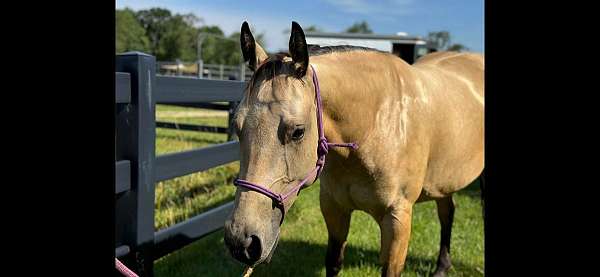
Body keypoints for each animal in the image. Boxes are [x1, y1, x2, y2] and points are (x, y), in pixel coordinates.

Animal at [224, 22, 482, 276]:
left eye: (298, 131)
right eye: (237, 126)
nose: (241, 241)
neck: (376, 125)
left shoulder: (398, 220)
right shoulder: (335, 209)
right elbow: (333, 262)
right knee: (447, 213)